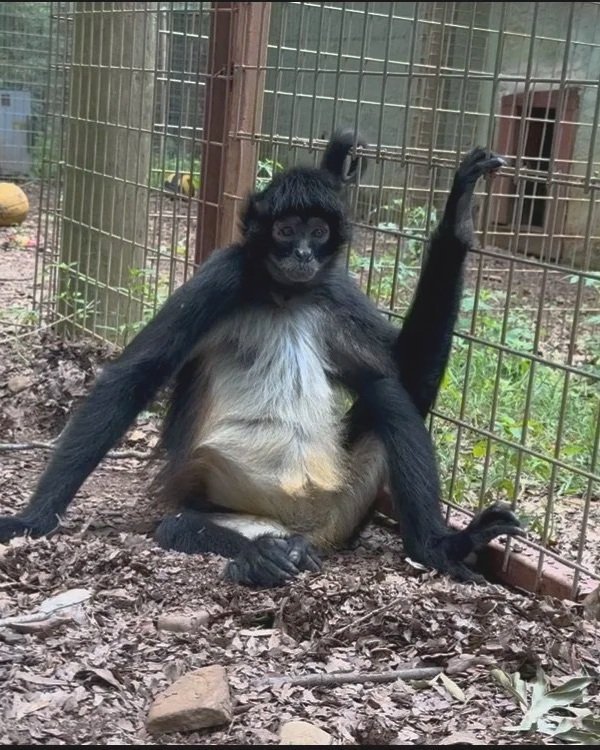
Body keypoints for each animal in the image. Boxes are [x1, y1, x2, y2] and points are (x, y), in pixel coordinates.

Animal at [0, 130, 523, 588]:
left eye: (318, 231)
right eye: (286, 230)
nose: (304, 253)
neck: (284, 296)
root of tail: (302, 529)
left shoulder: (332, 291)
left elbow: (407, 375)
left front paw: (458, 217)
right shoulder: (224, 275)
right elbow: (132, 377)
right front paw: (33, 518)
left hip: (344, 506)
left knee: (387, 394)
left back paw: (437, 547)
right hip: (224, 502)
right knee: (177, 525)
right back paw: (263, 558)